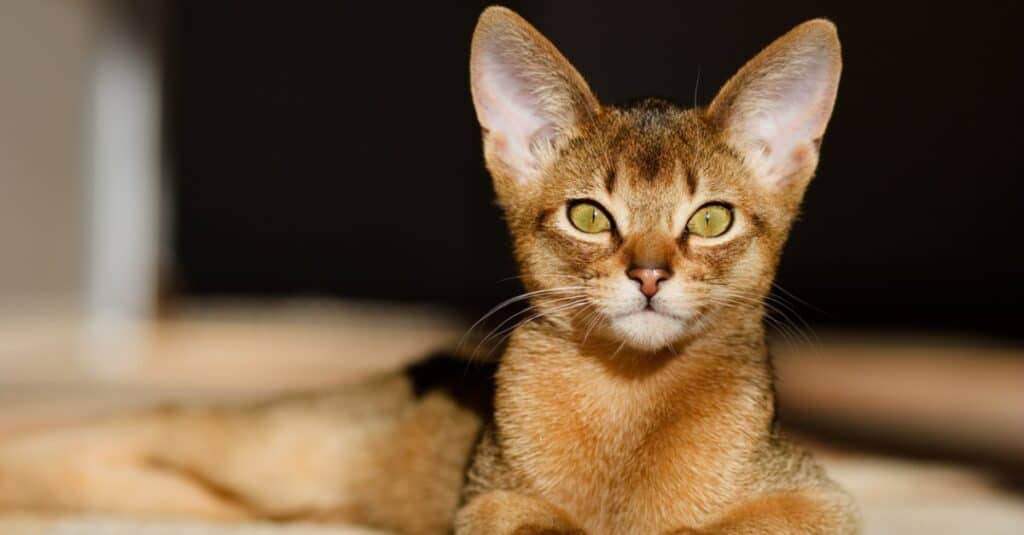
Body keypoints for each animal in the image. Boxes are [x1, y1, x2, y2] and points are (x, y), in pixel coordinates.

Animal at [0, 5, 856, 532]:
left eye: (711, 219)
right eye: (589, 215)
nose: (648, 275)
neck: (632, 406)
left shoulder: (820, 500)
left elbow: (738, 523)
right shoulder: (485, 502)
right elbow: (539, 521)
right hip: (276, 445)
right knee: (133, 424)